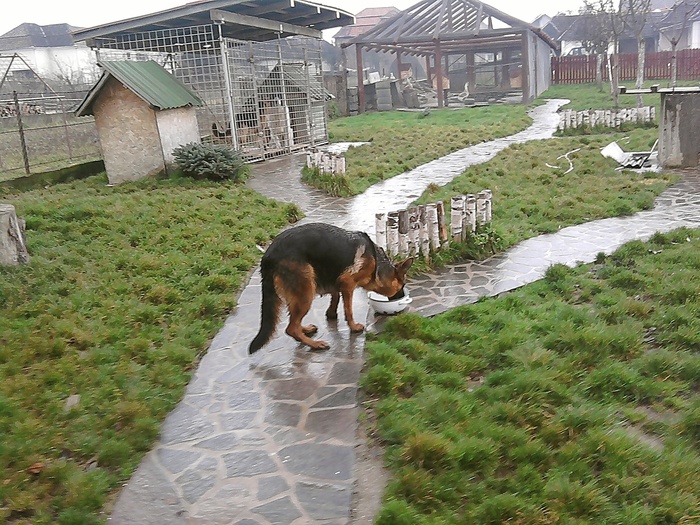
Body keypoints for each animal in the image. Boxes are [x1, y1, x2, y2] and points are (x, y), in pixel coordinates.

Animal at [249, 222, 412, 352]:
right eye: (402, 285)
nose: (402, 296)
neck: (376, 262)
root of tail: (268, 256)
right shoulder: (348, 283)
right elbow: (348, 309)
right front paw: (353, 327)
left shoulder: (337, 280)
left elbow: (335, 295)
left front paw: (331, 313)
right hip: (306, 291)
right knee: (291, 328)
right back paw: (315, 344)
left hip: (300, 293)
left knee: (294, 321)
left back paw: (305, 330)